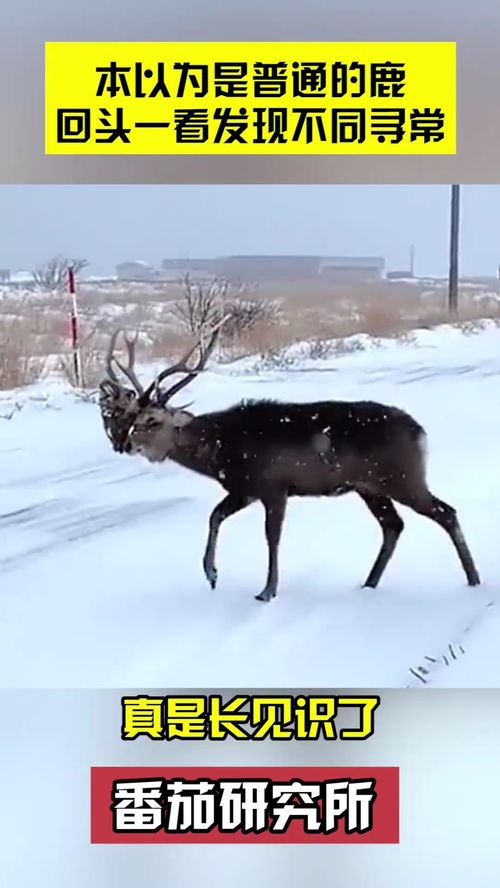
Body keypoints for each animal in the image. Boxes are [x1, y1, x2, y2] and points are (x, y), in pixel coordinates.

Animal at [98, 320, 480, 604]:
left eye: (152, 421)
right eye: (131, 417)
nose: (126, 445)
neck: (222, 449)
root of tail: (420, 432)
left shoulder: (274, 485)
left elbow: (272, 537)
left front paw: (267, 591)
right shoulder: (244, 489)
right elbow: (215, 516)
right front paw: (212, 574)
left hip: (401, 476)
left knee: (445, 512)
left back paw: (474, 580)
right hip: (369, 486)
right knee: (394, 525)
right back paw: (369, 583)